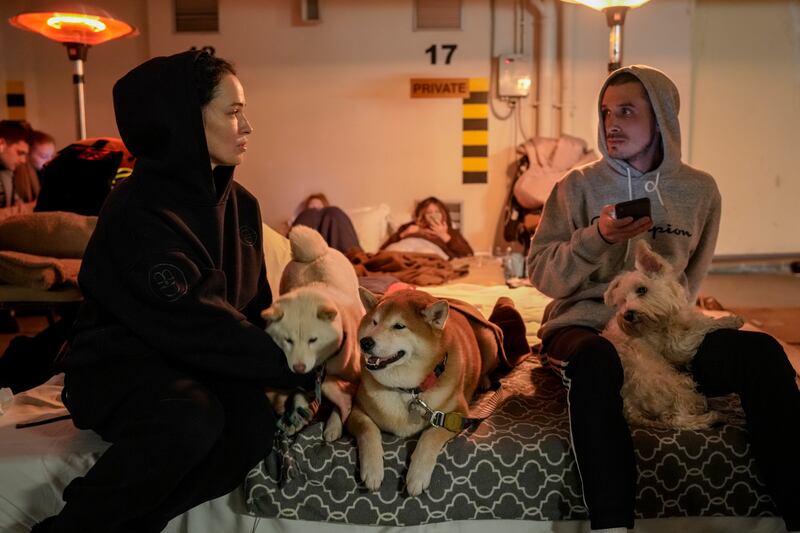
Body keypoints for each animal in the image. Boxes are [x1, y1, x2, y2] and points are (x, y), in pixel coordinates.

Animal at [262, 227, 362, 438]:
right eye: (288, 340)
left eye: (313, 340)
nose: (299, 368)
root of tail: (315, 254)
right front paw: (297, 413)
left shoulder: (355, 377)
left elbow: (340, 401)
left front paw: (334, 424)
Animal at [600, 239, 744, 430]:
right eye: (622, 301)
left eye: (641, 290)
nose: (627, 315)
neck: (662, 320)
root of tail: (630, 410)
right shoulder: (677, 346)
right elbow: (702, 325)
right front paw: (732, 320)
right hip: (680, 386)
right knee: (678, 418)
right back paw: (716, 416)